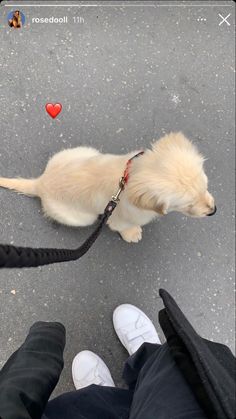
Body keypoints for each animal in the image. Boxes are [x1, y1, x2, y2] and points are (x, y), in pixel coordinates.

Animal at [0, 131, 216, 243]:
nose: (213, 211)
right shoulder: (118, 218)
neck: (128, 179)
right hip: (81, 218)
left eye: (206, 186)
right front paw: (132, 234)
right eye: (187, 204)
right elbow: (123, 226)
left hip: (80, 152)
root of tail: (40, 183)